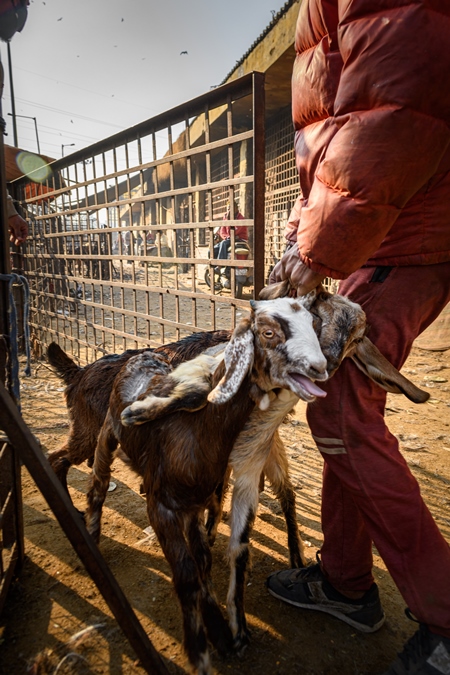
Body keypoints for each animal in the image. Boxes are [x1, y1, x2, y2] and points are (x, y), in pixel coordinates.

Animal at [86, 298, 328, 675]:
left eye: (314, 326)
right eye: (268, 332)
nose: (319, 368)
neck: (199, 433)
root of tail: (142, 354)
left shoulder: (195, 506)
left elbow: (206, 563)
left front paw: (227, 634)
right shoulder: (162, 509)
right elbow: (187, 575)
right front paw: (200, 649)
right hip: (107, 436)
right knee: (98, 484)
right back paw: (93, 535)